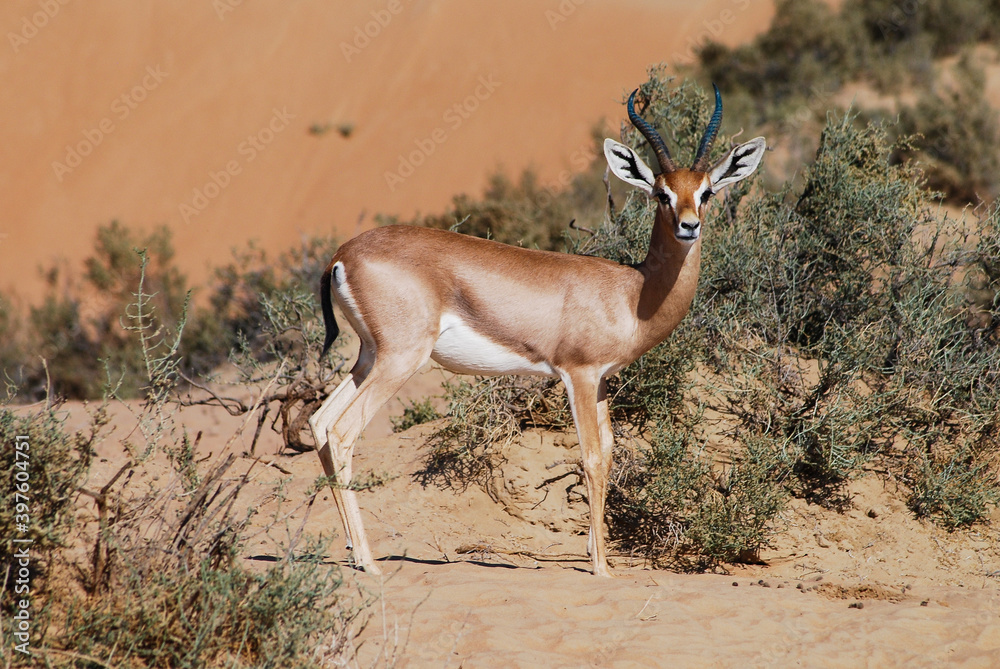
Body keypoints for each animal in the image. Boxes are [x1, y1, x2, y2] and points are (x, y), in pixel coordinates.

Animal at [309, 85, 766, 576]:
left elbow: (608, 454)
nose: (688, 226)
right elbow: (590, 457)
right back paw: (368, 562)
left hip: (369, 356)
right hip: (400, 359)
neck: (633, 292)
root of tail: (343, 254)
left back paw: (353, 552)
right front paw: (601, 569)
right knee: (342, 432)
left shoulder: (601, 381)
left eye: (706, 192)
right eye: (662, 194)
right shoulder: (578, 375)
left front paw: (596, 556)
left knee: (320, 421)